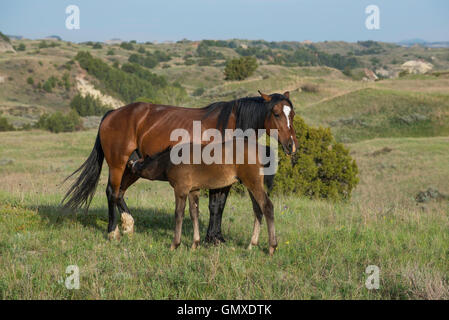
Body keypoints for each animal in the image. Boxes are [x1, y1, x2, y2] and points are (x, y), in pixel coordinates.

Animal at [60, 90, 298, 240]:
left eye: (292, 114)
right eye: (276, 113)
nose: (291, 145)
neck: (229, 127)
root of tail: (112, 113)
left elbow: (219, 206)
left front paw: (216, 237)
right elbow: (214, 206)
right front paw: (211, 239)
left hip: (133, 166)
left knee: (119, 193)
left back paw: (128, 225)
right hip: (118, 164)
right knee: (111, 192)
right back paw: (113, 232)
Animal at [128, 139, 278, 256]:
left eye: (142, 161)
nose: (131, 164)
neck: (170, 160)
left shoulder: (181, 190)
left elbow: (179, 214)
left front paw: (175, 244)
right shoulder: (193, 190)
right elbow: (194, 213)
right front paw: (195, 243)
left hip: (253, 183)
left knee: (267, 206)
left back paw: (272, 246)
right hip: (250, 185)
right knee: (257, 209)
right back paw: (252, 244)